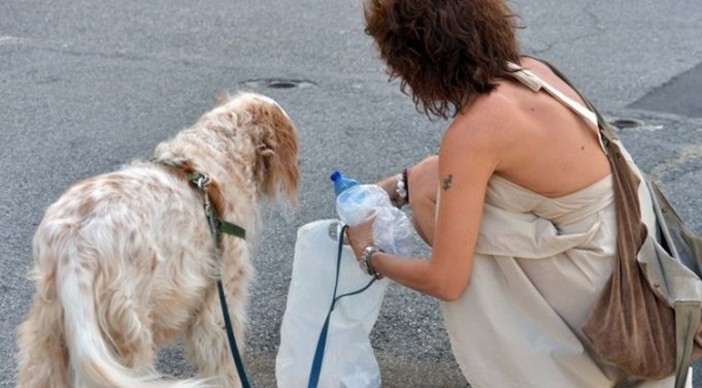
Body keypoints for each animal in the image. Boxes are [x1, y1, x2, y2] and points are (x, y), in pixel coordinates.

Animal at [16, 92, 302, 386]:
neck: (219, 154)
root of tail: (74, 245)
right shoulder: (220, 298)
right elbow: (224, 362)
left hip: (48, 337)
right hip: (130, 334)